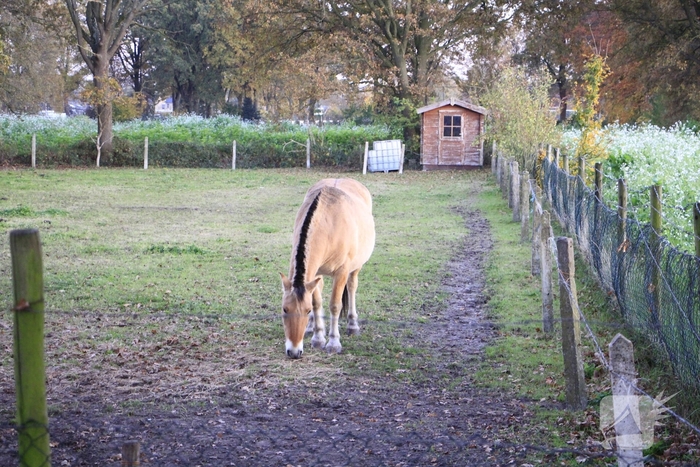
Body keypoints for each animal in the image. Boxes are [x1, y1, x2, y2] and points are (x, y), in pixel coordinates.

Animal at [280, 178, 375, 359]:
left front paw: (333, 343)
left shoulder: (342, 272)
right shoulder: (315, 274)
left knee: (352, 287)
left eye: (307, 310)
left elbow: (335, 305)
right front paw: (318, 338)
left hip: (355, 268)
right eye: (285, 309)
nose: (294, 352)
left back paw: (353, 325)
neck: (329, 224)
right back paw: (311, 327)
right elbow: (317, 303)